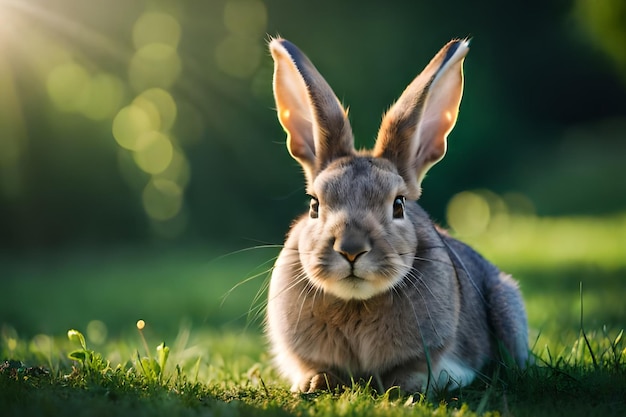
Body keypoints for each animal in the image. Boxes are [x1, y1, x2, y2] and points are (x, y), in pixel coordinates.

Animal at [264, 36, 528, 394]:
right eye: (314, 205)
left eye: (399, 205)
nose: (351, 249)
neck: (356, 303)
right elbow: (317, 369)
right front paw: (315, 383)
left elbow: (411, 374)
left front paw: (404, 388)